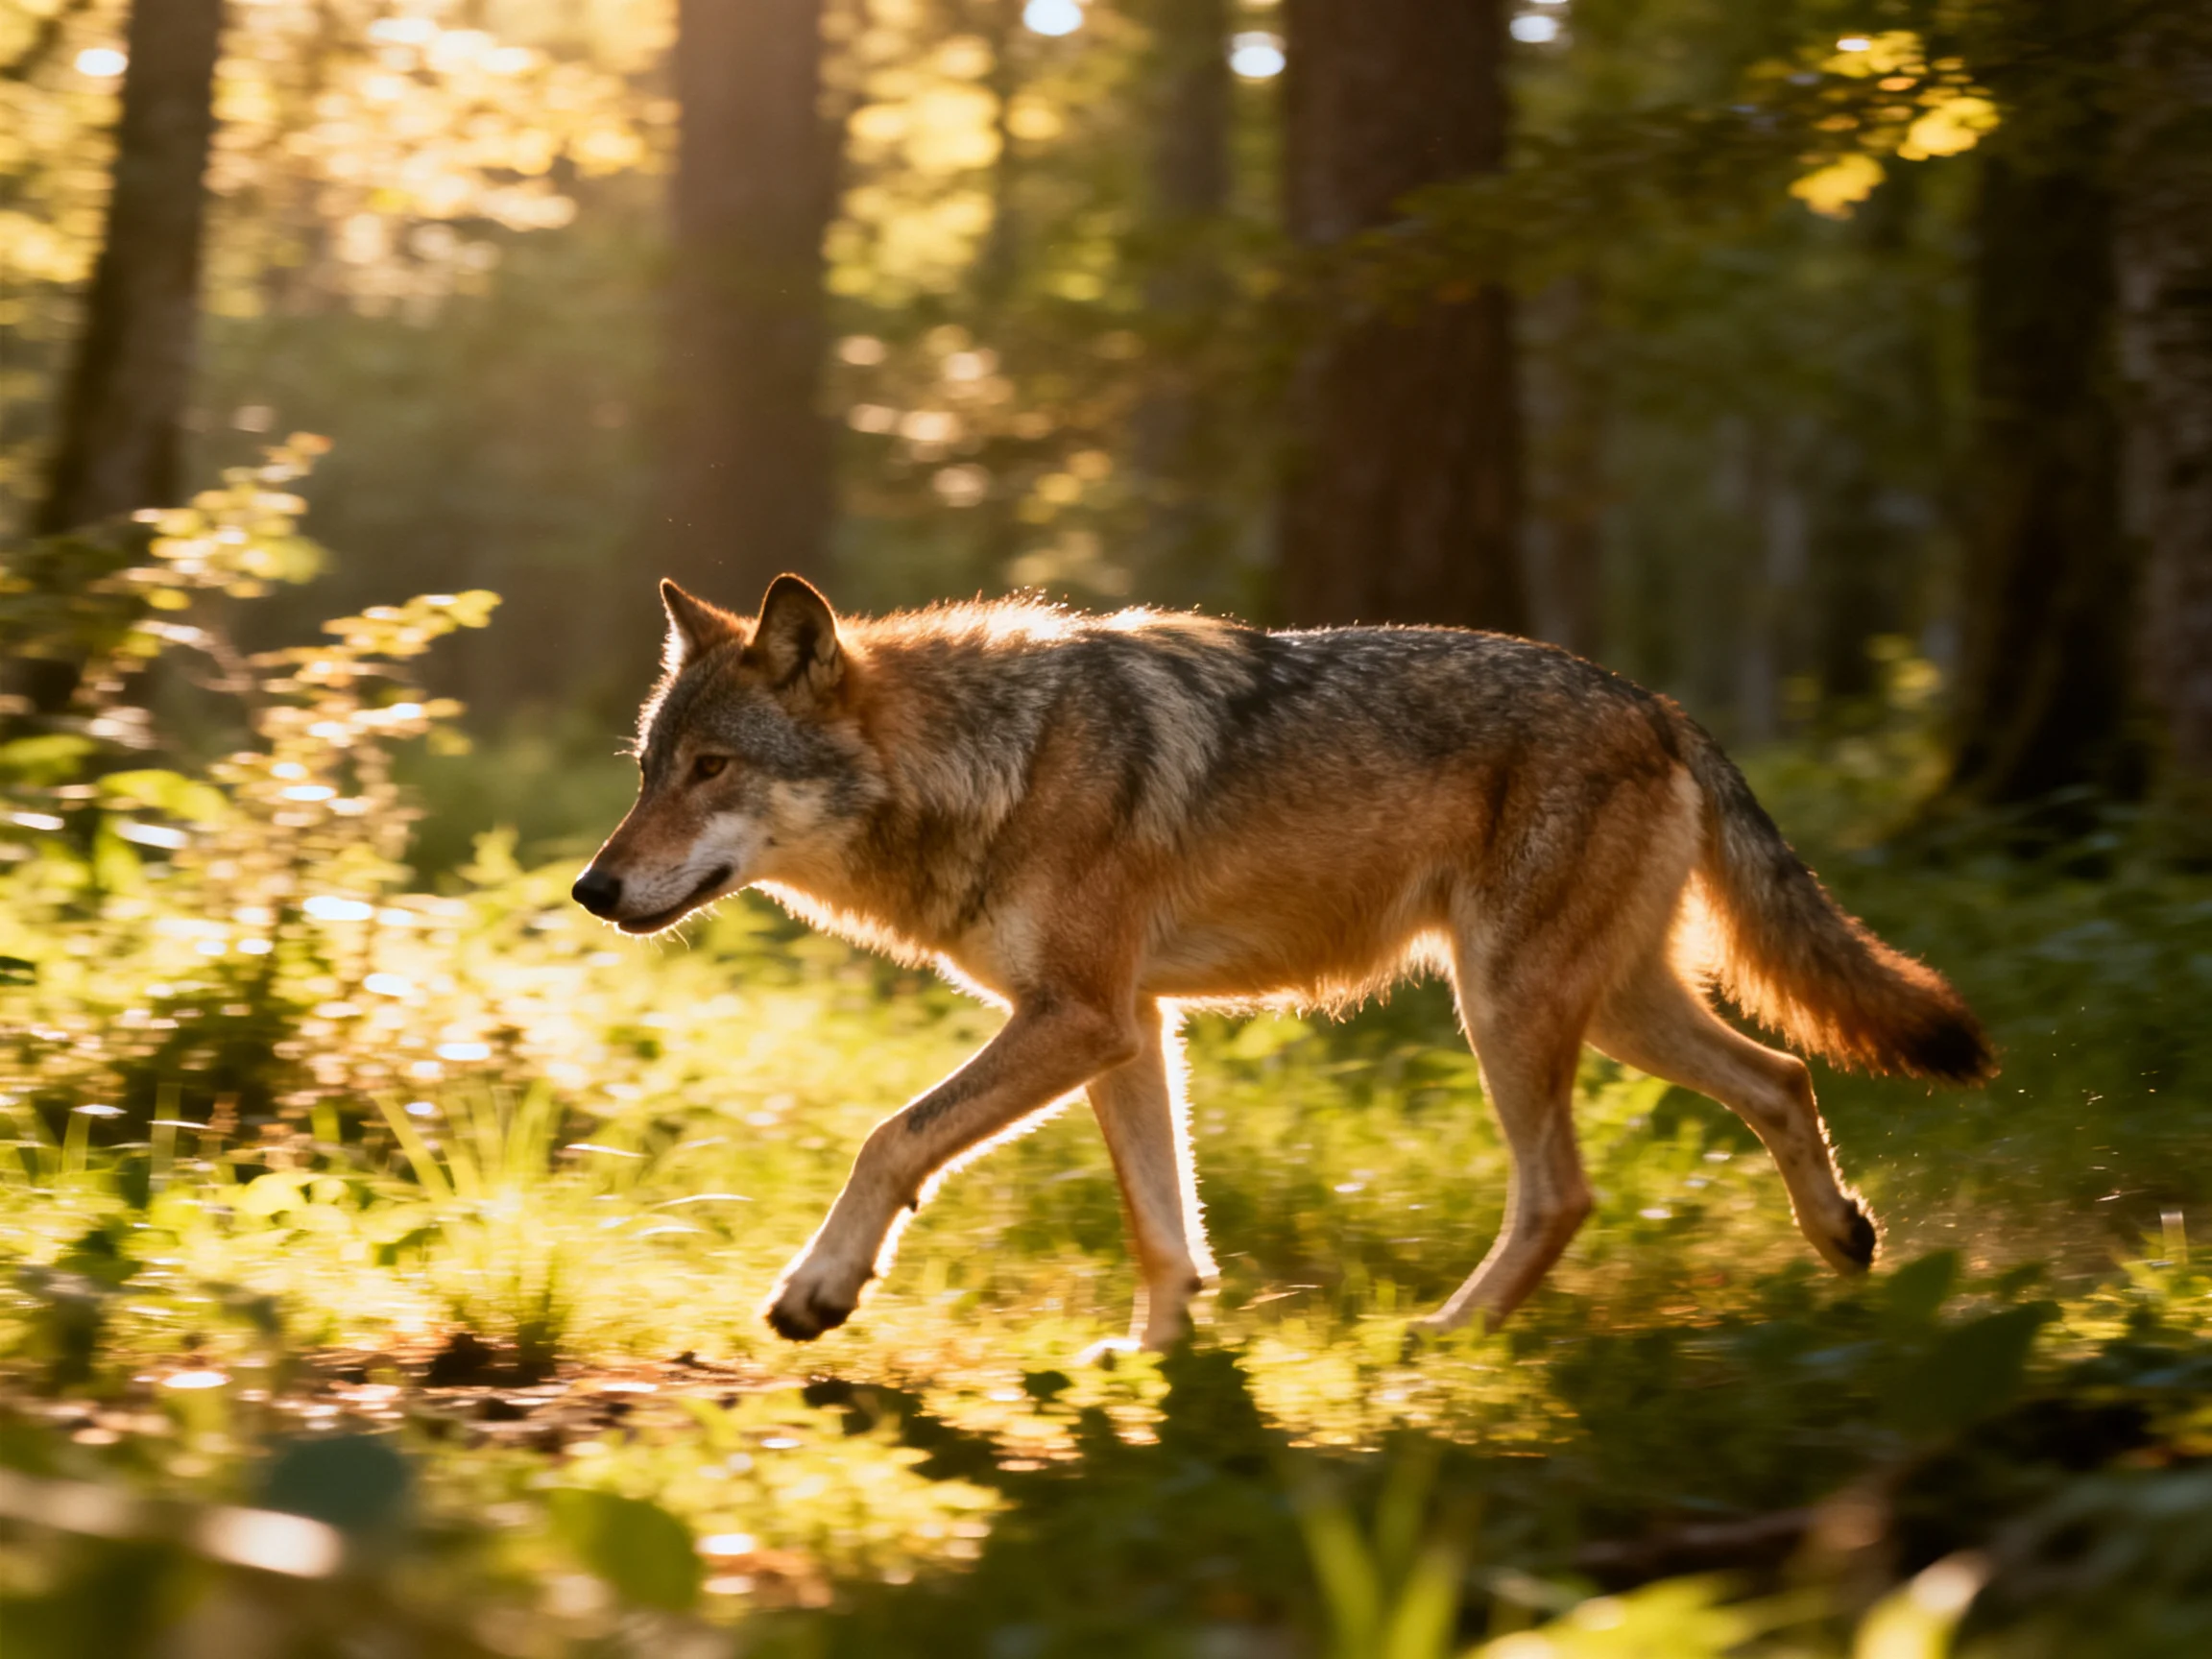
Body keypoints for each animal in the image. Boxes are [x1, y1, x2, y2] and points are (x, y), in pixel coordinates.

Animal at [572, 575, 1993, 1350]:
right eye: (646, 771)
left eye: (713, 769)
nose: (591, 889)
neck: (994, 761)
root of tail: (1655, 702)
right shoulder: (1128, 1029)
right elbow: (1162, 1226)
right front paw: (1156, 1363)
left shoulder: (1078, 1018)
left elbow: (889, 1137)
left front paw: (819, 1291)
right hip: (1612, 1011)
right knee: (1781, 1081)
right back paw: (1842, 1242)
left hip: (1509, 1008)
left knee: (1565, 1192)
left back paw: (1448, 1342)